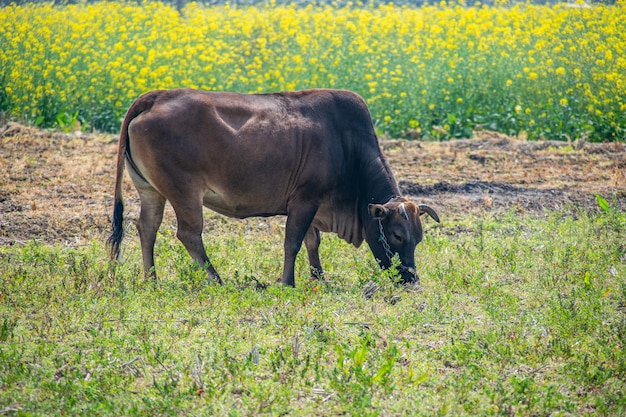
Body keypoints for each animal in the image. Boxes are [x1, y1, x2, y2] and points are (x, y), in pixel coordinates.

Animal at [106, 88, 438, 286]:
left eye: (419, 238)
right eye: (397, 235)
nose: (411, 279)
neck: (346, 145)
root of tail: (156, 96)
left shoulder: (313, 206)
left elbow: (312, 242)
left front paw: (318, 278)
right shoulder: (304, 200)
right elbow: (293, 242)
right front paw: (288, 282)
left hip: (151, 190)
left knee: (147, 228)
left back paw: (152, 279)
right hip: (184, 192)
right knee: (189, 234)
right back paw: (216, 279)